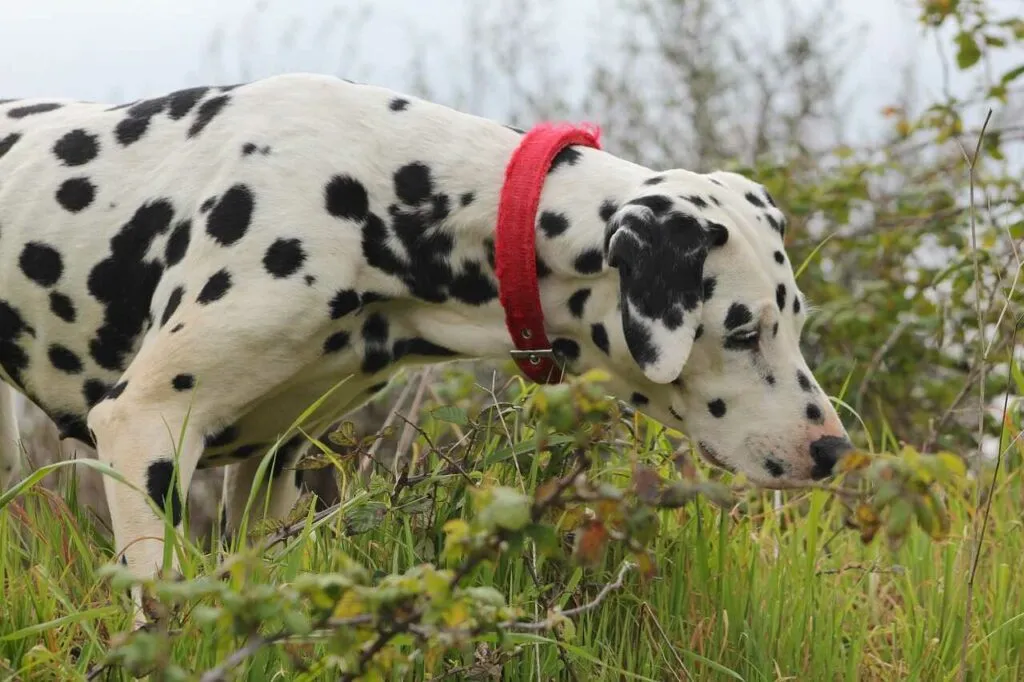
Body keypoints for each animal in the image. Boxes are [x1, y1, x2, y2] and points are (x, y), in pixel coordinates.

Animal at [0, 71, 847, 618]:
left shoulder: (270, 467)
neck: (373, 191)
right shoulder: (144, 426)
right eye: (741, 330)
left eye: (796, 320)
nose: (835, 450)